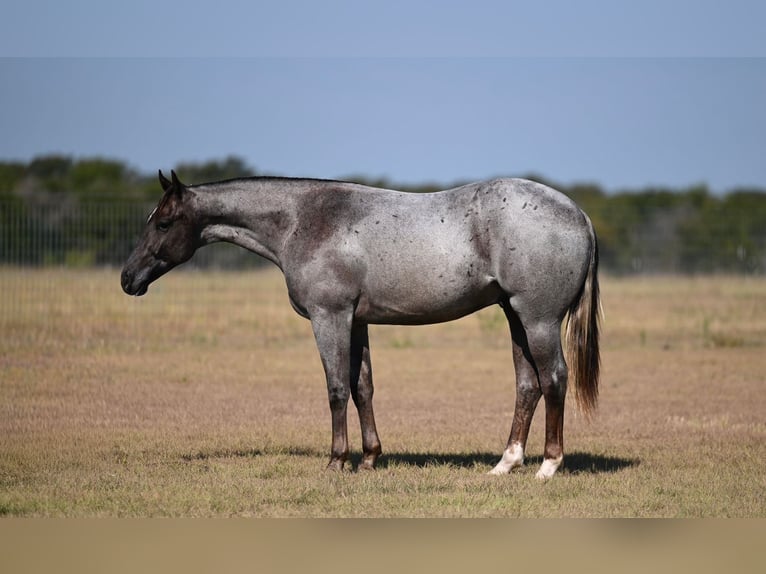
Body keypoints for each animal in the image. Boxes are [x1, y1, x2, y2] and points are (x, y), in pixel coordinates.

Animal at [121, 170, 600, 480]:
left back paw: (548, 466)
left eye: (163, 223)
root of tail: (579, 213)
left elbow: (335, 388)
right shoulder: (357, 322)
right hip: (515, 316)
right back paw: (505, 464)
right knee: (528, 385)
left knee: (554, 379)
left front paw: (337, 461)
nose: (128, 279)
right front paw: (370, 458)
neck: (304, 220)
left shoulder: (329, 317)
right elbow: (362, 386)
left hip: (537, 320)